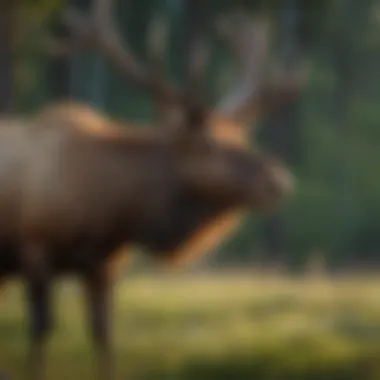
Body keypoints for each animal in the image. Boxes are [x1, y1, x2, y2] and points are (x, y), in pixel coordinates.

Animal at [0, 0, 306, 378]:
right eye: (207, 145)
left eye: (243, 137)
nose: (278, 180)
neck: (105, 209)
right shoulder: (35, 248)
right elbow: (41, 330)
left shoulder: (105, 265)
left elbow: (104, 335)